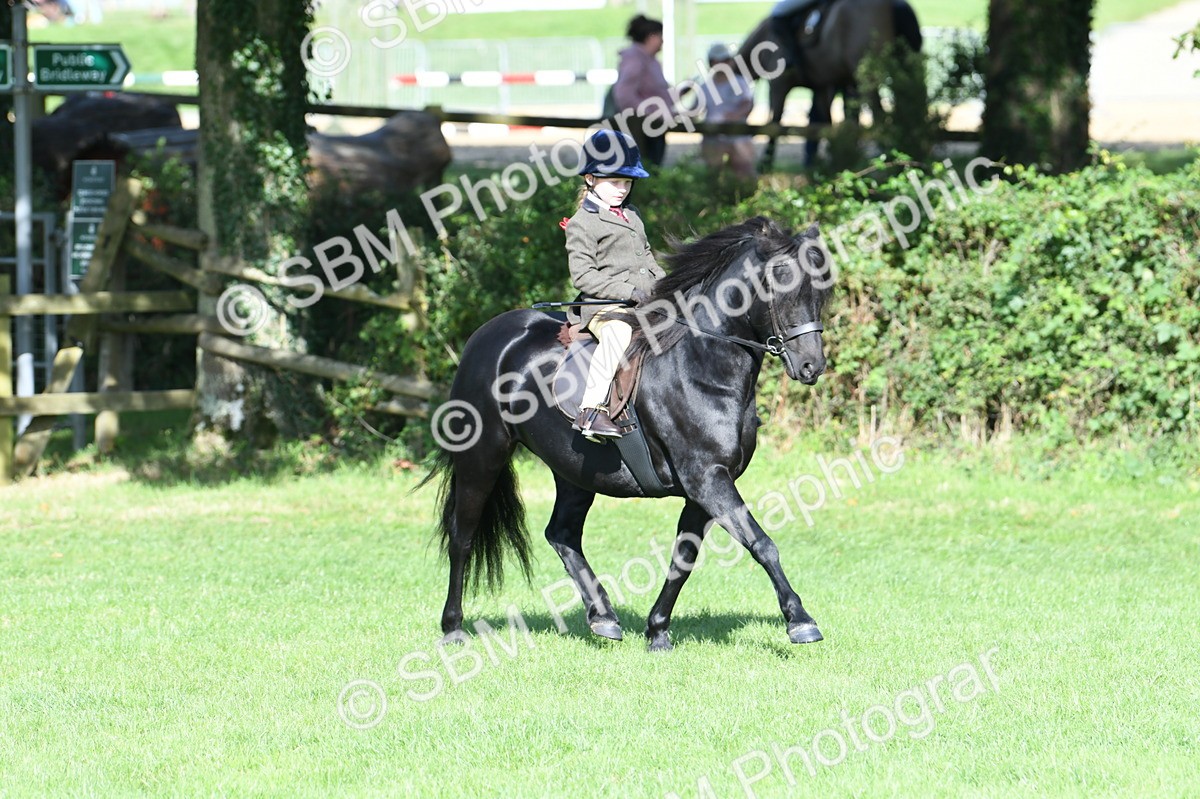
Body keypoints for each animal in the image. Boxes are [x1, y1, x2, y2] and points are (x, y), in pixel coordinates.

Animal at [425, 217, 833, 651]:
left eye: (819, 292)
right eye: (782, 285)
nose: (812, 366)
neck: (699, 362)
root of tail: (487, 336)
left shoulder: (704, 488)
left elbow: (683, 559)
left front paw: (657, 631)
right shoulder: (708, 479)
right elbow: (762, 544)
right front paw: (801, 622)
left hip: (574, 470)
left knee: (562, 534)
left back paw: (603, 617)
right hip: (482, 457)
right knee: (463, 536)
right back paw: (453, 628)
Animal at [740, 0, 924, 166]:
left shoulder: (778, 85)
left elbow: (775, 123)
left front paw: (765, 164)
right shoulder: (823, 86)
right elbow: (826, 122)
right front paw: (835, 158)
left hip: (868, 75)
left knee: (879, 113)